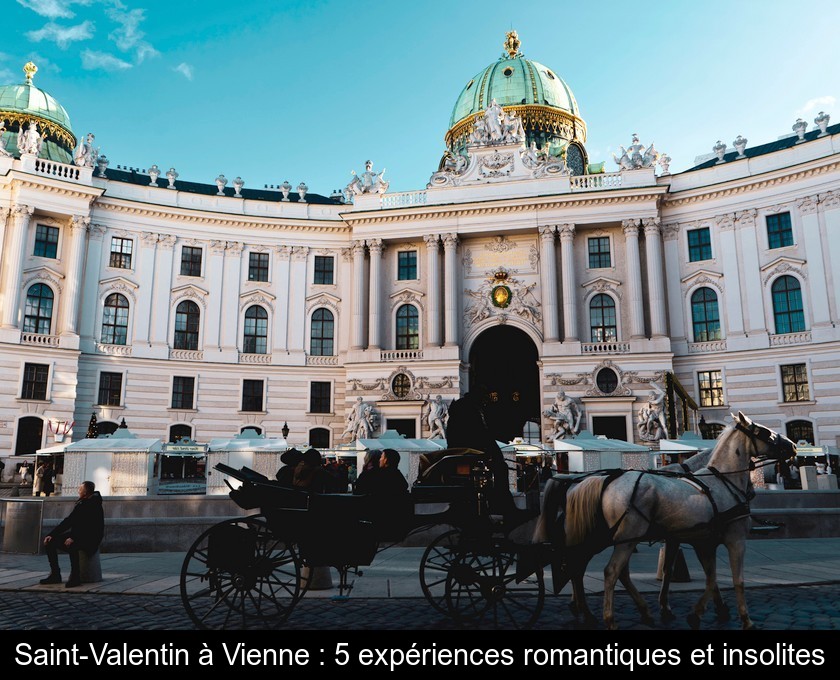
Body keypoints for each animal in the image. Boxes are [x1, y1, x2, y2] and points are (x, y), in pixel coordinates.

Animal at [536, 412, 796, 628]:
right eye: (764, 432)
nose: (792, 446)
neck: (719, 481)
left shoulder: (696, 540)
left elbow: (705, 576)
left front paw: (699, 610)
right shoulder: (733, 539)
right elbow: (734, 579)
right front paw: (741, 618)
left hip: (615, 538)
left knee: (589, 568)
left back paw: (603, 610)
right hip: (620, 537)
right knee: (604, 570)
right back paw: (605, 617)